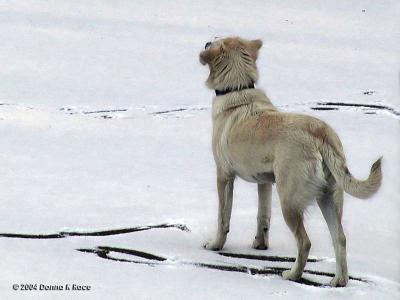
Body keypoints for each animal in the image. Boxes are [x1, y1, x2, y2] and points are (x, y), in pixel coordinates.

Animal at [199, 36, 382, 288]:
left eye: (214, 42)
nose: (206, 41)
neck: (237, 89)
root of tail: (320, 134)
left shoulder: (224, 176)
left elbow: (223, 217)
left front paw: (215, 245)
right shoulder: (264, 182)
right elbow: (262, 216)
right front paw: (260, 245)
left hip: (289, 202)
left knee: (305, 242)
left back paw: (292, 274)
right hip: (329, 198)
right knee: (340, 238)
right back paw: (339, 280)